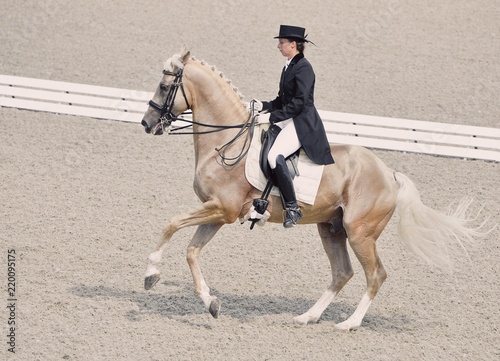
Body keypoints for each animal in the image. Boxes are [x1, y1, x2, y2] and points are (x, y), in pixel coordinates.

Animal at [139, 46, 482, 330]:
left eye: (165, 86)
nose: (147, 123)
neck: (227, 143)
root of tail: (389, 173)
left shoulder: (222, 209)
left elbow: (172, 224)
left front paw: (151, 273)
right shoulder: (218, 213)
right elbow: (192, 251)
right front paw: (210, 302)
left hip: (360, 232)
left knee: (376, 274)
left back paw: (349, 324)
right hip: (331, 228)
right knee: (342, 272)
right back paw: (308, 316)